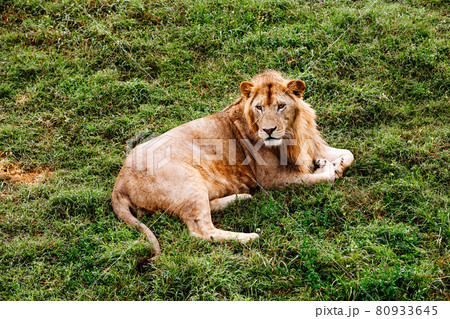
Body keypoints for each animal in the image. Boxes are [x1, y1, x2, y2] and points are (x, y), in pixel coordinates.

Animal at [110, 71, 354, 262]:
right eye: (259, 107)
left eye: (281, 106)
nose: (268, 130)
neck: (293, 132)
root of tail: (119, 183)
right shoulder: (271, 178)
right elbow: (318, 177)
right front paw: (328, 167)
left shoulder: (311, 146)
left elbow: (349, 154)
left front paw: (333, 162)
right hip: (189, 180)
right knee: (201, 231)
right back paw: (249, 237)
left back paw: (242, 198)